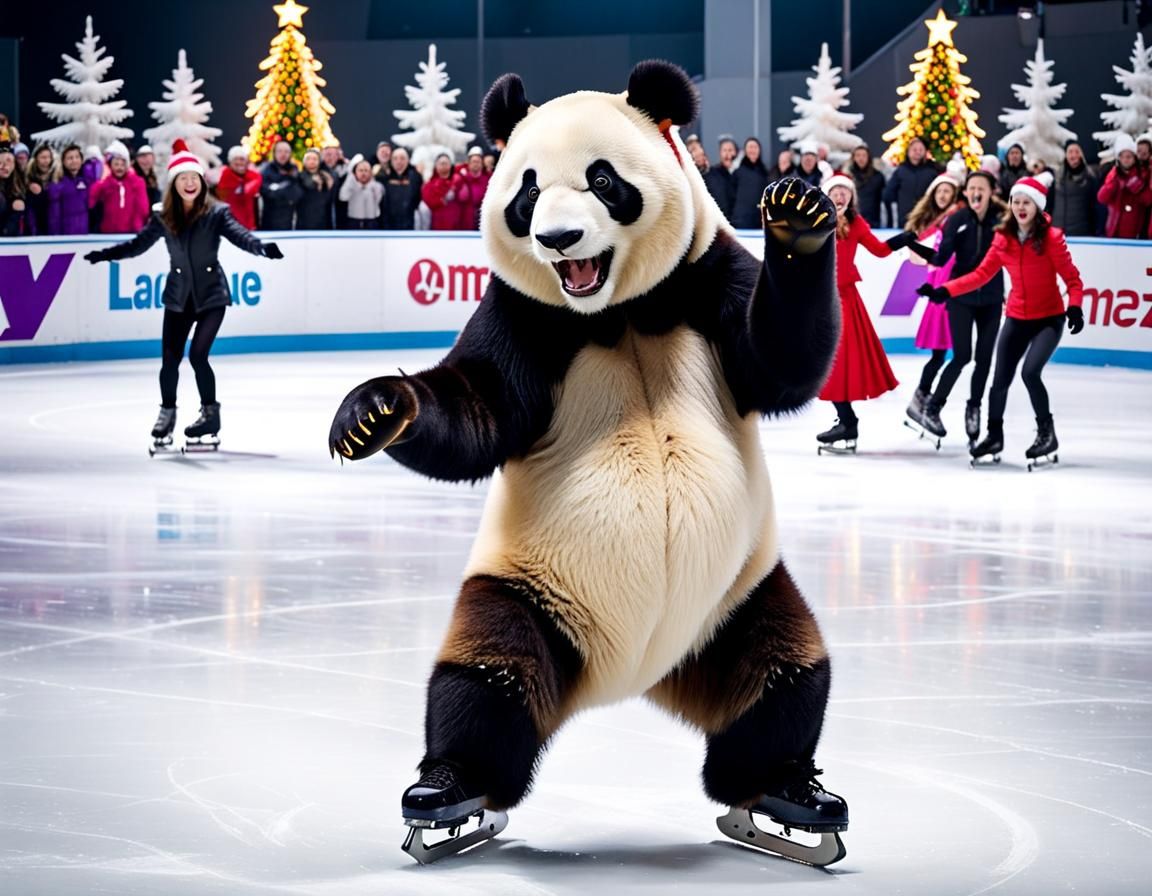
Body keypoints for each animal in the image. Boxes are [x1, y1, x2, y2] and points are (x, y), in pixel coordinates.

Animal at [329, 60, 847, 866]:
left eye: (604, 180)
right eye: (527, 192)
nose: (559, 237)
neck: (615, 314)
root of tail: (638, 674)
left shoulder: (704, 279)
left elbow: (781, 363)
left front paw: (796, 217)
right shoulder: (522, 318)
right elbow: (479, 413)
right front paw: (375, 411)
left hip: (737, 593)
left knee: (785, 673)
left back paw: (787, 793)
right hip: (529, 587)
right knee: (484, 678)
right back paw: (449, 793)